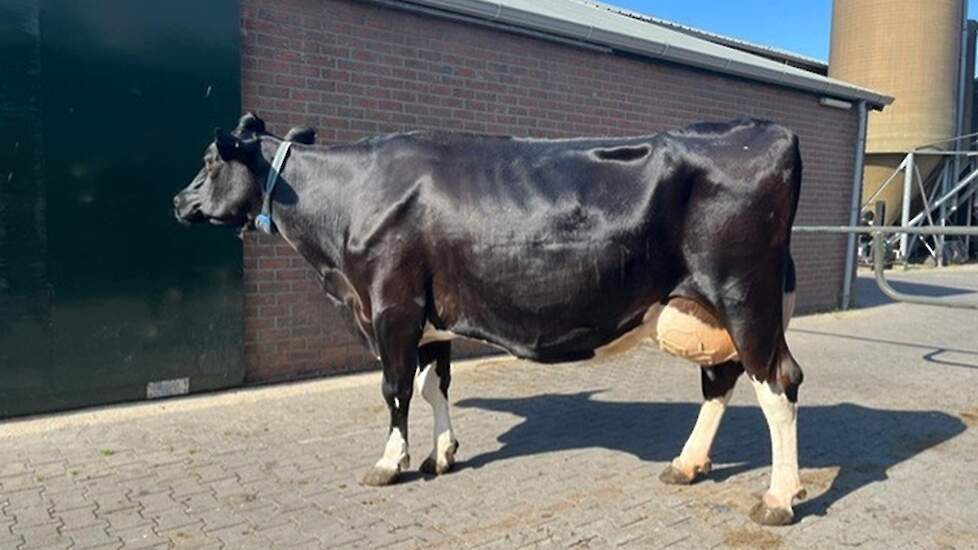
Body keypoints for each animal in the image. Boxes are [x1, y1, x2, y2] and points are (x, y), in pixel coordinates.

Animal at [172, 113, 804, 532]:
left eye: (208, 162)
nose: (177, 202)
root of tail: (766, 129)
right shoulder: (432, 318)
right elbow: (433, 385)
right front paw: (442, 454)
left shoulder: (391, 304)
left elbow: (395, 388)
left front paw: (390, 463)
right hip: (713, 305)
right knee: (722, 382)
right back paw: (687, 465)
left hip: (743, 296)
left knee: (777, 384)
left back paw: (778, 498)